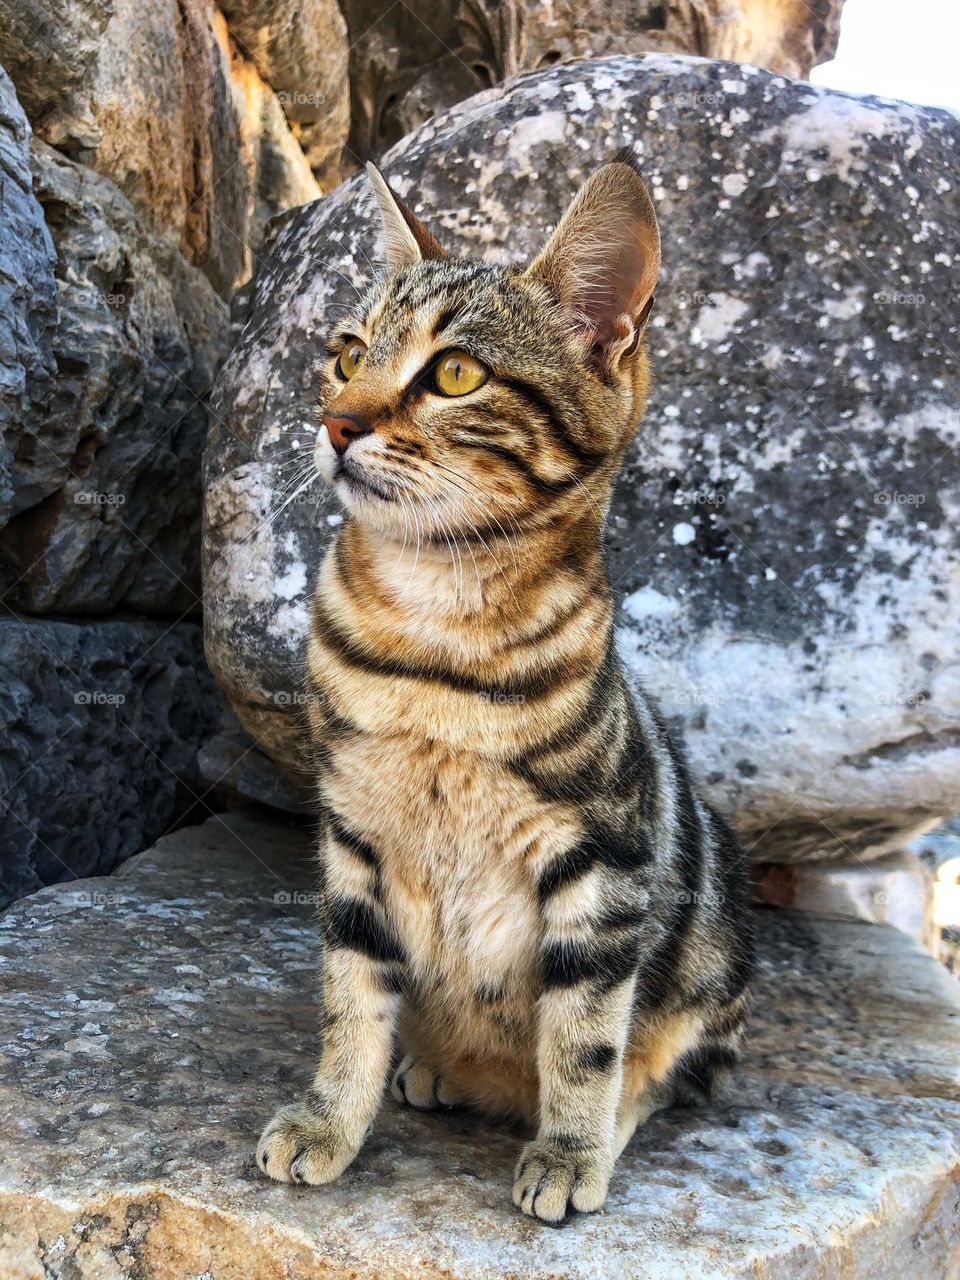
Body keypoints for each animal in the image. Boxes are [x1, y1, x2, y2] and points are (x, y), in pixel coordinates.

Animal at [259, 149, 757, 1218]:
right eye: (347, 353)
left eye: (455, 373)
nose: (335, 421)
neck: (431, 646)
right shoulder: (352, 838)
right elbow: (350, 1007)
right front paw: (330, 1119)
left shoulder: (602, 862)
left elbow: (583, 1038)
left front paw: (569, 1150)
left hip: (712, 969)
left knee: (664, 1070)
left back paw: (603, 1124)